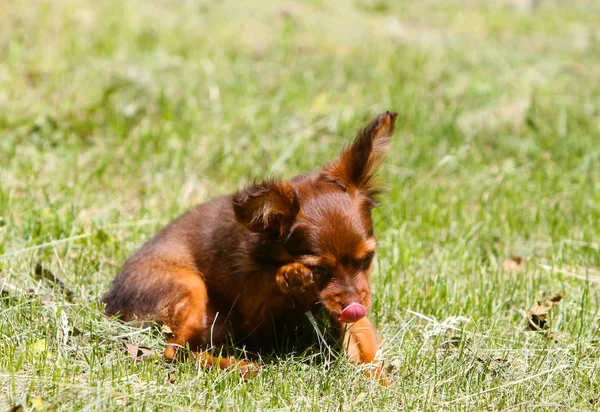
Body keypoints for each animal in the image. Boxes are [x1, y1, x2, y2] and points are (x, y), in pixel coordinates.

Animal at [104, 110, 394, 384]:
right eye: (319, 269)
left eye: (367, 258)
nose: (355, 305)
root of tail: (109, 300)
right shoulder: (254, 311)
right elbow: (268, 283)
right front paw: (288, 274)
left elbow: (364, 346)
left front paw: (380, 383)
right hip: (189, 287)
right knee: (175, 351)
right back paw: (236, 366)